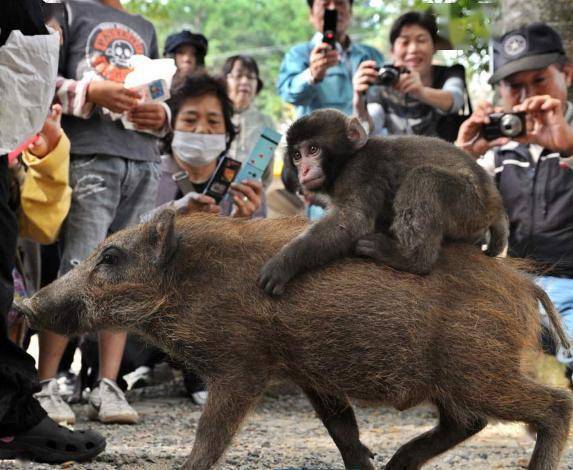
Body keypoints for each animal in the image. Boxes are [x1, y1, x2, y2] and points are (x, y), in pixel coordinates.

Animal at [256, 108, 508, 296]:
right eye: (297, 156)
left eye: (313, 149)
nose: (304, 170)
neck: (347, 160)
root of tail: (494, 200)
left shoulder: (360, 170)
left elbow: (352, 222)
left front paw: (285, 262)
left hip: (472, 206)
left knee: (423, 178)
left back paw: (411, 259)